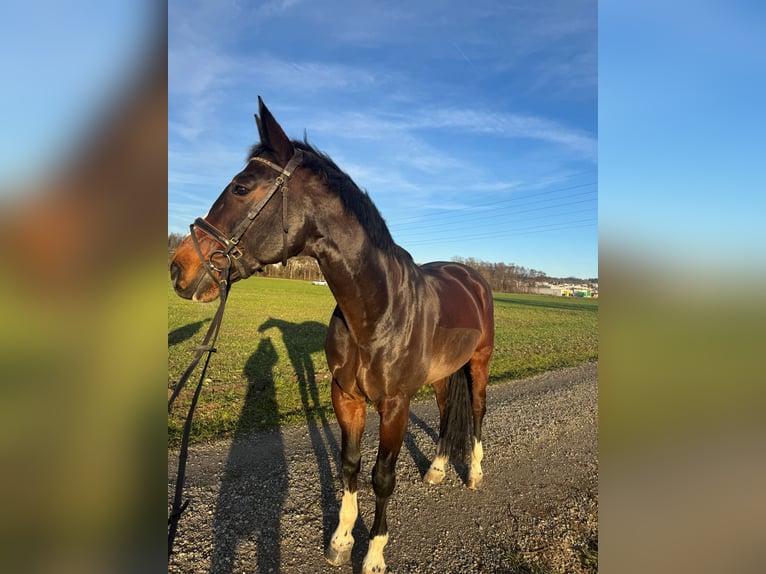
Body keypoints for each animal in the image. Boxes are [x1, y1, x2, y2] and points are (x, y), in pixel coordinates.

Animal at [170, 100, 496, 574]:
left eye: (241, 188)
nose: (179, 268)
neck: (378, 311)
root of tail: (471, 276)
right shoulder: (346, 396)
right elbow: (350, 465)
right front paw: (341, 540)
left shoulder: (394, 405)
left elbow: (382, 476)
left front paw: (374, 554)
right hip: (440, 374)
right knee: (445, 411)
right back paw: (436, 470)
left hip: (479, 363)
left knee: (475, 410)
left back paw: (473, 472)